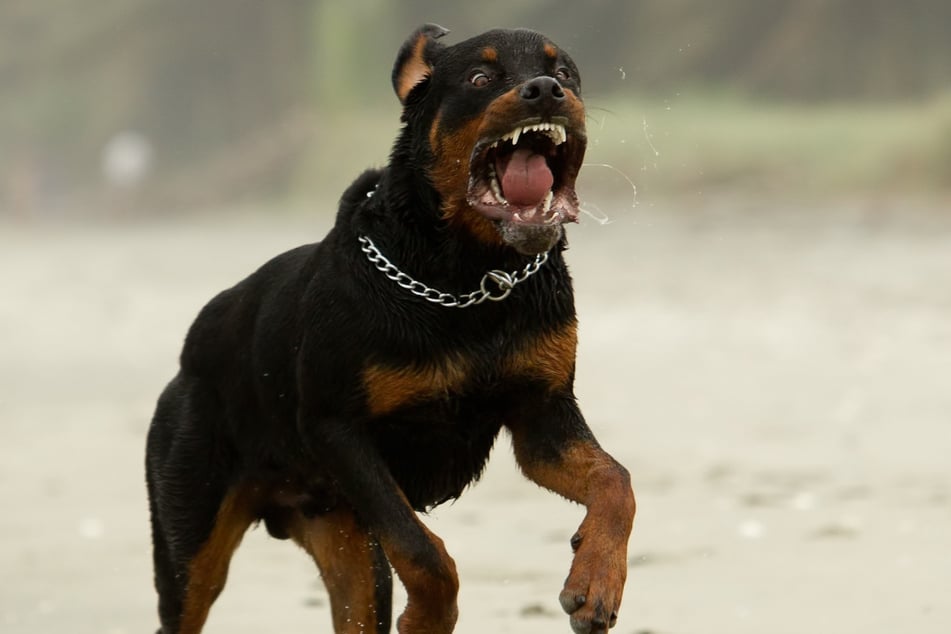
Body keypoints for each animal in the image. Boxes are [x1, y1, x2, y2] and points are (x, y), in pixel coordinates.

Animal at [149, 24, 636, 632]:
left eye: (565, 72)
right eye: (480, 78)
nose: (546, 90)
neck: (469, 278)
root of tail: (190, 354)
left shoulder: (541, 417)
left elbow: (616, 481)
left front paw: (596, 582)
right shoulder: (340, 431)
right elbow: (424, 552)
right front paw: (428, 619)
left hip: (342, 538)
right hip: (193, 530)